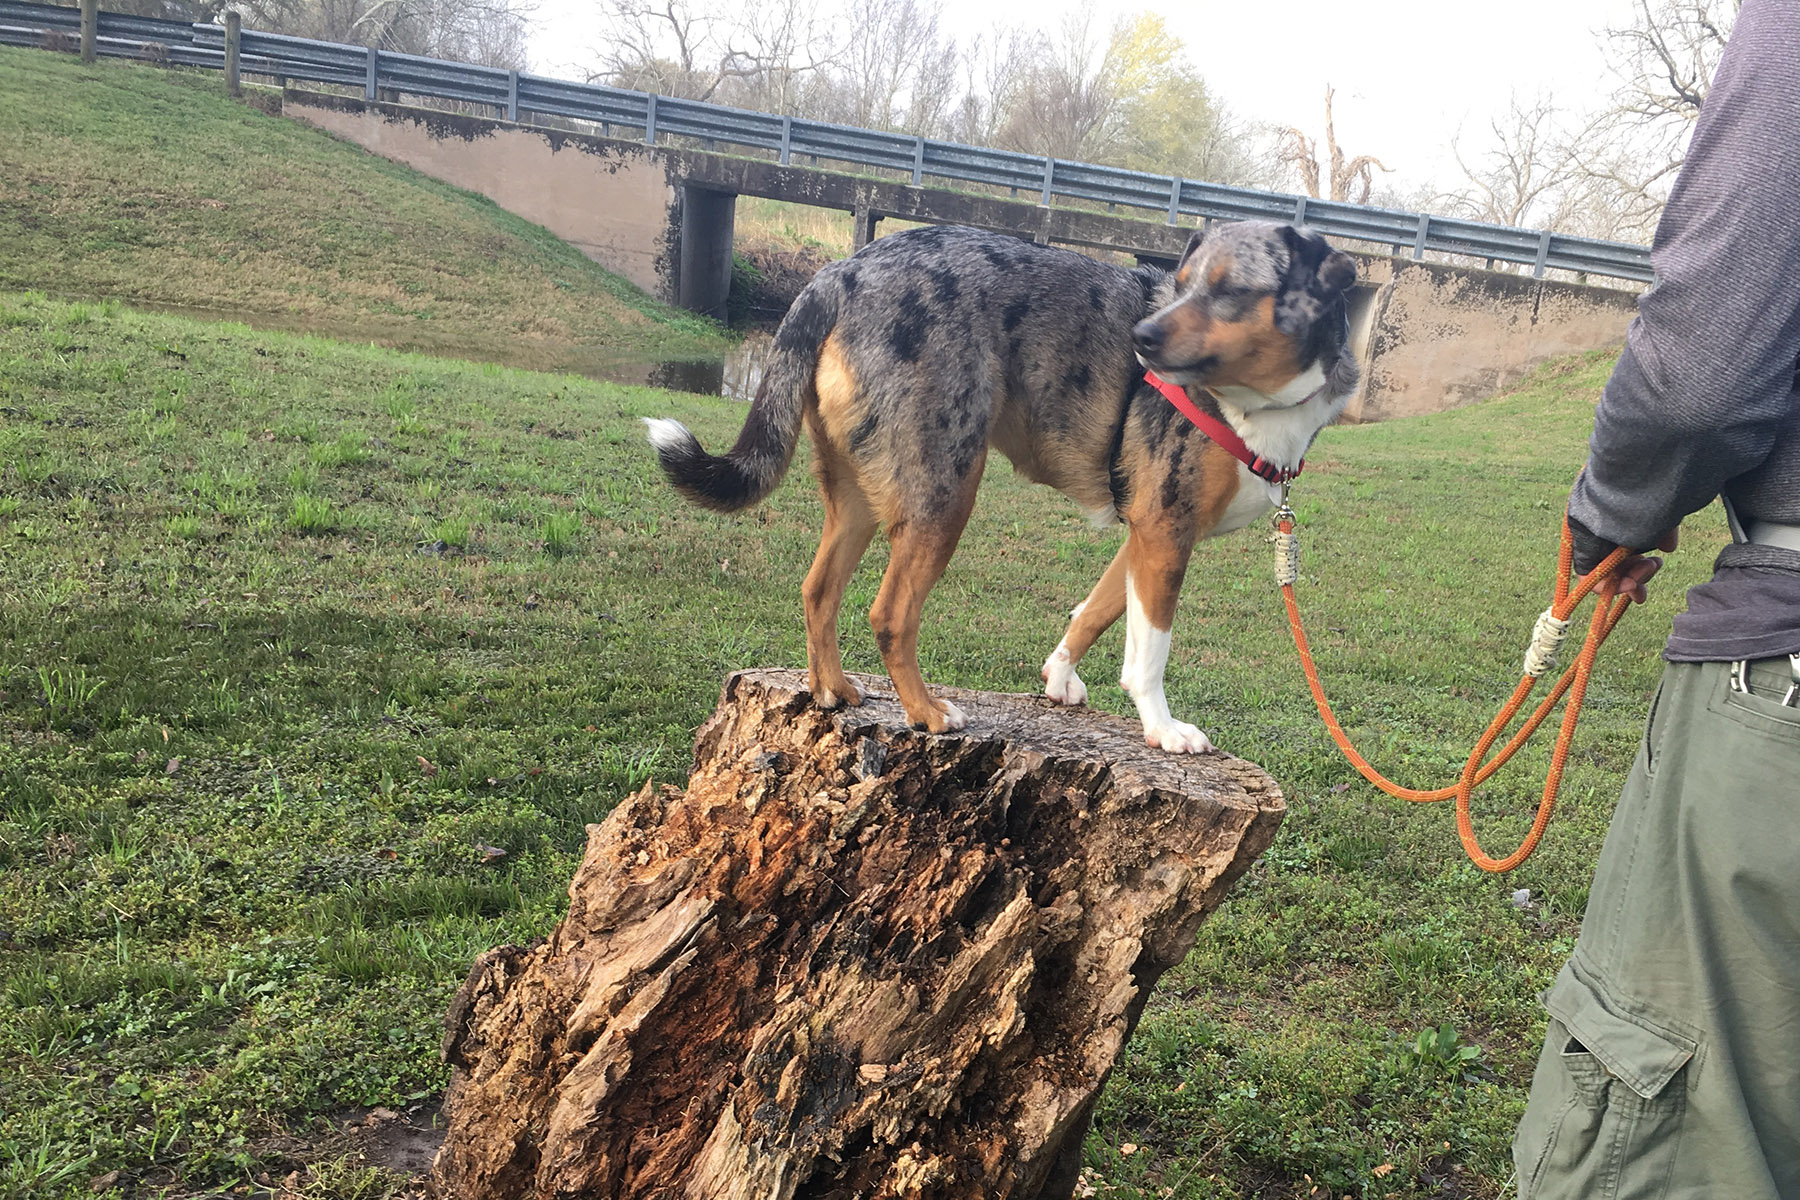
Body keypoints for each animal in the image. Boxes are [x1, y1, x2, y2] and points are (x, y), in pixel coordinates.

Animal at [640, 218, 1353, 752]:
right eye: (1178, 285)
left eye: (1229, 291)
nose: (1141, 339)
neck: (1256, 404)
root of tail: (839, 271)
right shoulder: (1166, 531)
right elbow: (1149, 652)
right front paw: (1163, 728)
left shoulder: (1144, 538)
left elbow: (1094, 612)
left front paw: (1059, 678)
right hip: (944, 491)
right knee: (890, 614)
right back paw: (927, 712)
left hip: (862, 495)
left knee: (819, 590)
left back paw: (831, 689)